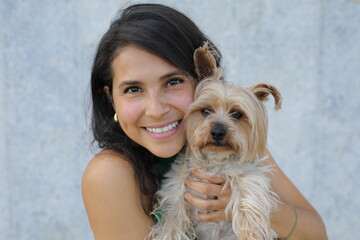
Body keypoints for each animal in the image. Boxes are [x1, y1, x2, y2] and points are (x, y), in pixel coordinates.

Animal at [148, 42, 282, 239]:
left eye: (237, 114)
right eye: (205, 111)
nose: (218, 132)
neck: (214, 161)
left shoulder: (248, 175)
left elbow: (249, 195)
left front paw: (252, 233)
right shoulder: (176, 190)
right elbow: (172, 221)